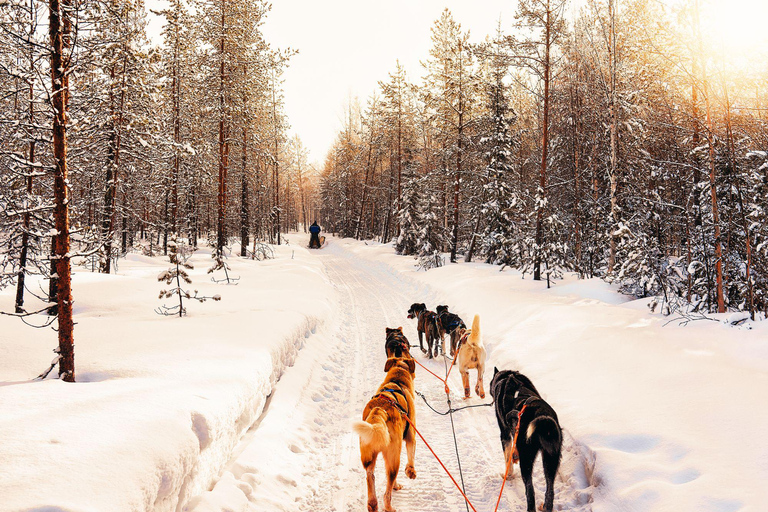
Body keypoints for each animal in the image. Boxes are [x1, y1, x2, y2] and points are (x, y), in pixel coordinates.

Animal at [352, 358, 414, 510]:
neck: (397, 380)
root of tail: (379, 411)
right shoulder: (411, 434)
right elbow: (411, 454)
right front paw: (411, 472)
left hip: (368, 454)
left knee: (370, 475)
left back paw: (372, 504)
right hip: (393, 458)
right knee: (387, 490)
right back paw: (389, 507)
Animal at [488, 368, 560, 512]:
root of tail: (542, 415)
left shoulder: (504, 434)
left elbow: (507, 457)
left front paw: (508, 474)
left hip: (527, 461)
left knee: (530, 491)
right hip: (550, 460)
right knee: (550, 492)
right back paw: (546, 506)